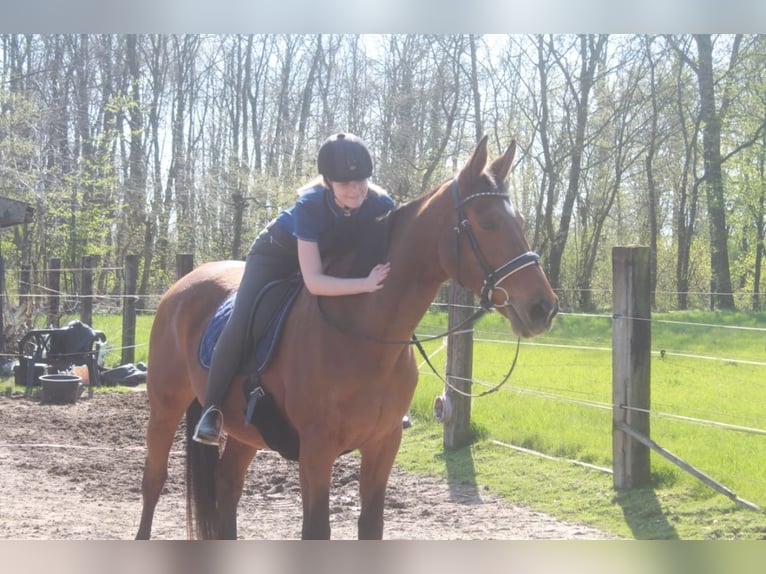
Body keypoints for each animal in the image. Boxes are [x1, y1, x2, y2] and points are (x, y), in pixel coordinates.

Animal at [136, 137, 560, 544]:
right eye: (487, 222)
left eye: (520, 220)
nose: (543, 307)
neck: (365, 337)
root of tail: (181, 285)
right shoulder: (316, 450)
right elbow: (316, 530)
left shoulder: (383, 444)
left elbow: (371, 526)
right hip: (165, 407)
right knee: (154, 481)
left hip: (244, 431)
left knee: (227, 486)